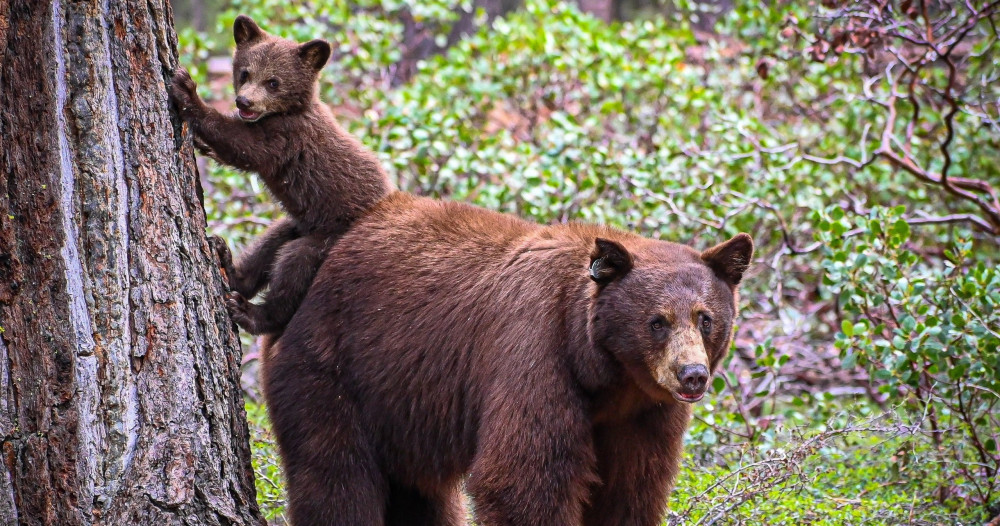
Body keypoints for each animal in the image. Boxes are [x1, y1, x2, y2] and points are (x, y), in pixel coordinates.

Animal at [266, 192, 752, 524]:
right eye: (657, 321)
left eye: (705, 318)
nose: (692, 375)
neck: (606, 375)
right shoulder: (535, 352)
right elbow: (523, 479)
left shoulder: (645, 413)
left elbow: (630, 489)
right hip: (329, 370)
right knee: (336, 476)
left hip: (402, 407)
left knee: (421, 496)